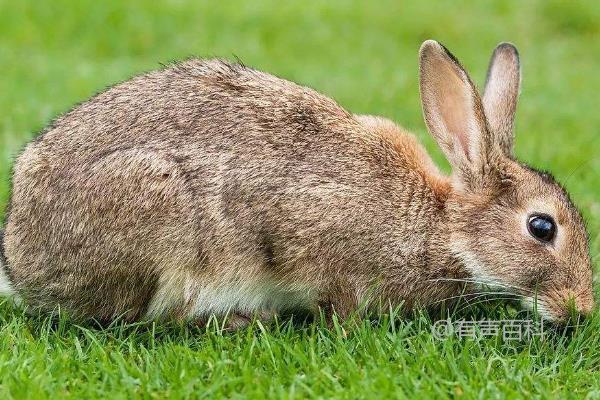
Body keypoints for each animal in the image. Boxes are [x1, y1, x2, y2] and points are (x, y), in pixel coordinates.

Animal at [0, 41, 592, 328]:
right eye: (542, 227)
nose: (581, 310)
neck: (440, 227)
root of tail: (21, 263)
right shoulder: (313, 234)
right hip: (158, 219)